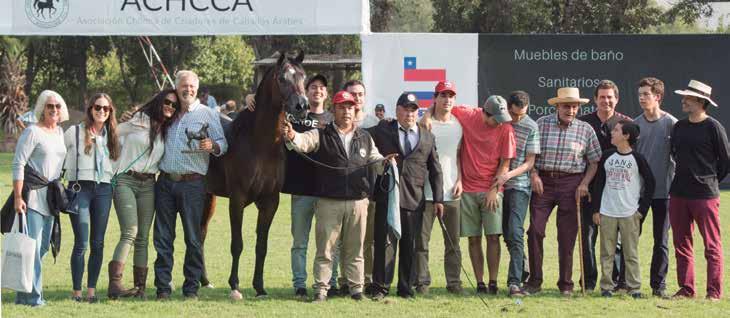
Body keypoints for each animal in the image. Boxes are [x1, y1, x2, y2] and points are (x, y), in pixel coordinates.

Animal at [202, 51, 310, 300]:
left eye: (304, 77)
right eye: (282, 78)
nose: (302, 106)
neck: (259, 144)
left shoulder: (270, 202)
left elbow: (262, 246)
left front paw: (259, 287)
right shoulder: (237, 200)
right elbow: (237, 244)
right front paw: (234, 285)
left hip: (208, 197)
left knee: (199, 235)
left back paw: (204, 280)